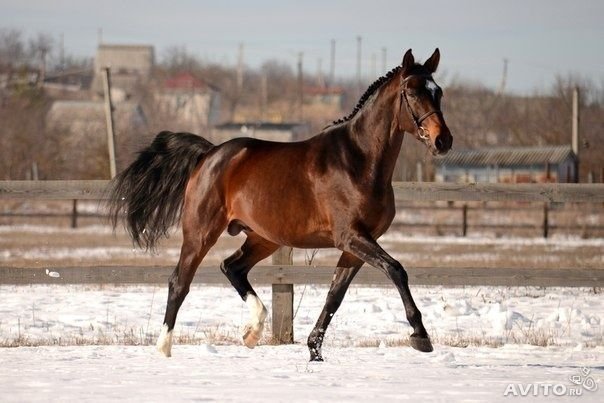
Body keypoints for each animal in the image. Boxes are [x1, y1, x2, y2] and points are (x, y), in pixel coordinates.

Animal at [109, 49, 452, 362]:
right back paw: (164, 347)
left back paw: (253, 331)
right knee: (180, 281)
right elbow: (396, 270)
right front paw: (420, 336)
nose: (443, 141)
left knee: (231, 267)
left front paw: (314, 351)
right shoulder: (351, 236)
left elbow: (335, 295)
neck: (358, 161)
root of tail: (209, 154)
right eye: (412, 92)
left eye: (438, 91)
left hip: (264, 238)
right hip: (200, 233)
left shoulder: (356, 245)